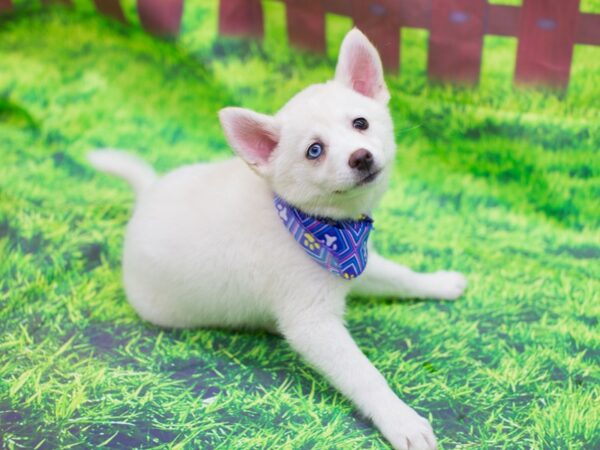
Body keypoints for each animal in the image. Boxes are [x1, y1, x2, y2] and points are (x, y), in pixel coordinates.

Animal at [86, 29, 466, 450]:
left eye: (361, 123)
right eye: (314, 151)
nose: (361, 157)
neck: (321, 228)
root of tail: (146, 196)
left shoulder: (361, 265)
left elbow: (401, 276)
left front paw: (438, 283)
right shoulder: (313, 323)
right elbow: (365, 375)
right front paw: (400, 419)